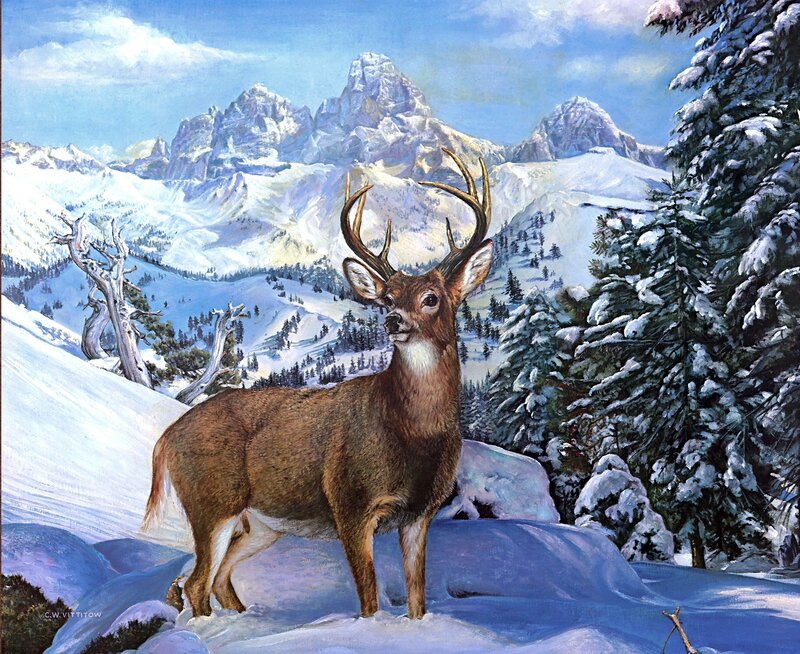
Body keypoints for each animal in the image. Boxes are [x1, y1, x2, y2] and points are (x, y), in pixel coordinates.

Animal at [142, 148, 494, 620]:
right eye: (386, 297)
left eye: (431, 298)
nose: (393, 320)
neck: (413, 432)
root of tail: (166, 437)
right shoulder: (350, 502)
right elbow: (369, 601)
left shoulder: (420, 514)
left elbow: (417, 600)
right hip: (212, 501)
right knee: (197, 582)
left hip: (261, 525)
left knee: (216, 580)